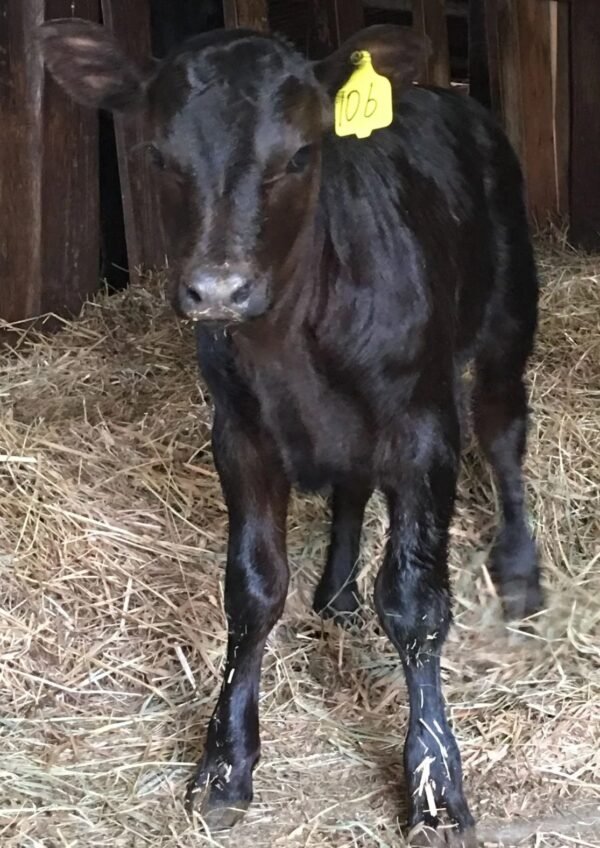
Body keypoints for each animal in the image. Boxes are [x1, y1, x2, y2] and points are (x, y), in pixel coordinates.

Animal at [39, 18, 542, 847]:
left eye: (302, 155)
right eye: (159, 156)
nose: (218, 289)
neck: (293, 346)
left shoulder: (423, 426)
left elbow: (414, 601)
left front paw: (435, 786)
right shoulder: (240, 434)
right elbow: (251, 590)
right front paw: (224, 765)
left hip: (507, 318)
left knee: (503, 432)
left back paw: (522, 572)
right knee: (351, 482)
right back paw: (335, 593)